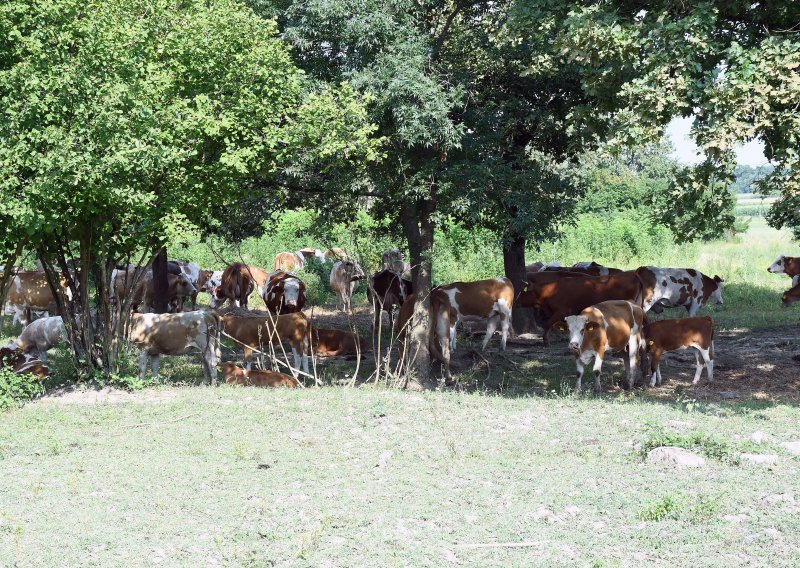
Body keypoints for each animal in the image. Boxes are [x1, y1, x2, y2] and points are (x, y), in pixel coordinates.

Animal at [516, 272, 648, 346]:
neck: (552, 290)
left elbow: (547, 324)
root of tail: (632, 274)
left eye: (523, 292)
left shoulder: (561, 311)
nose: (515, 302)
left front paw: (546, 341)